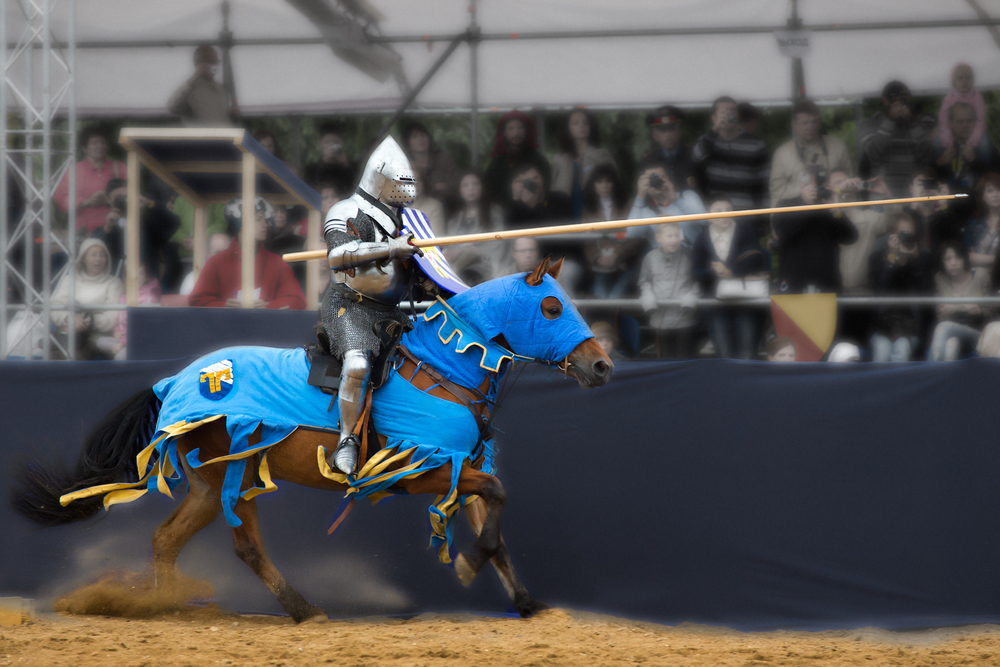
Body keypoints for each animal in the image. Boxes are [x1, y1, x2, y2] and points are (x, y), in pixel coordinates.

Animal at [11, 258, 612, 624]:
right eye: (553, 307)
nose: (602, 366)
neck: (445, 370)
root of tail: (176, 381)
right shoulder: (430, 470)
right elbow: (497, 499)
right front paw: (468, 565)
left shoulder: (461, 467)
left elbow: (497, 525)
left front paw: (528, 603)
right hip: (232, 472)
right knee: (239, 545)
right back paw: (297, 609)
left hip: (217, 480)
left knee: (174, 539)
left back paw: (173, 604)